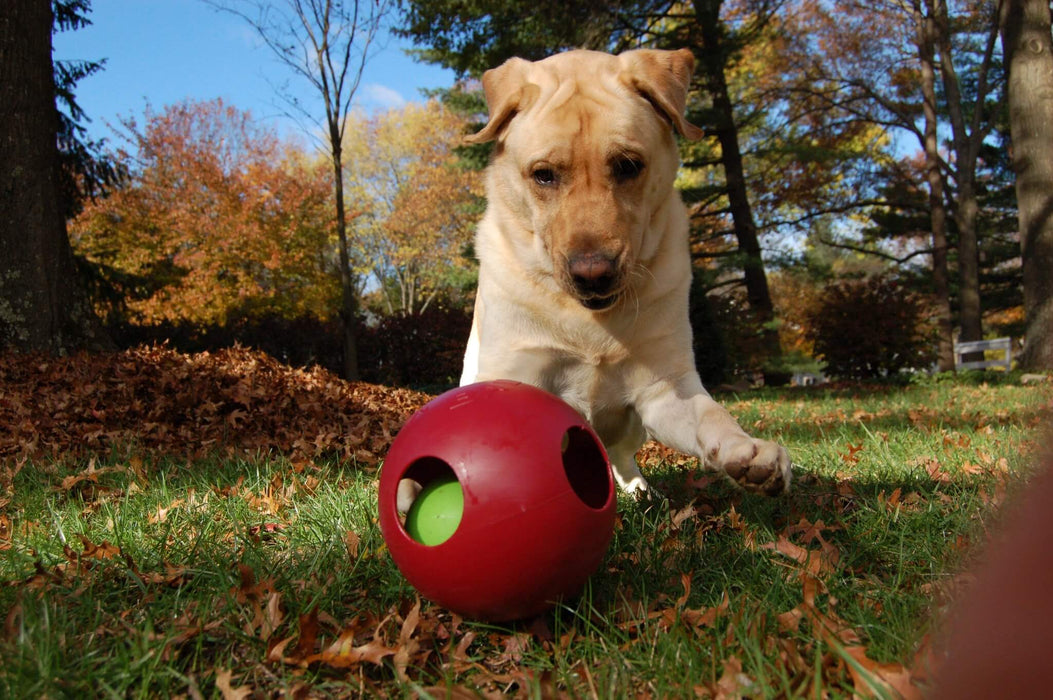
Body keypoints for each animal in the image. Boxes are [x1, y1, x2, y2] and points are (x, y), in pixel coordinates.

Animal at [461, 47, 791, 496]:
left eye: (628, 165)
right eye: (543, 175)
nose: (593, 273)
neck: (589, 322)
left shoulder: (666, 387)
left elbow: (711, 414)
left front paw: (747, 451)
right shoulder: (514, 373)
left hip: (634, 428)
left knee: (620, 455)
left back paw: (639, 490)